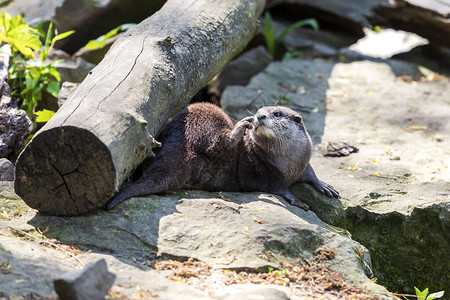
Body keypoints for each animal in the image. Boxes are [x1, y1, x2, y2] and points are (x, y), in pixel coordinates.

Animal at [105, 103, 338, 211]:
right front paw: (296, 200)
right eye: (260, 110)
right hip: (205, 114)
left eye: (277, 113)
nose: (259, 116)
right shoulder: (265, 173)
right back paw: (239, 127)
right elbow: (277, 187)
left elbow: (311, 172)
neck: (288, 163)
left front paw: (325, 186)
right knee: (217, 141)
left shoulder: (304, 160)